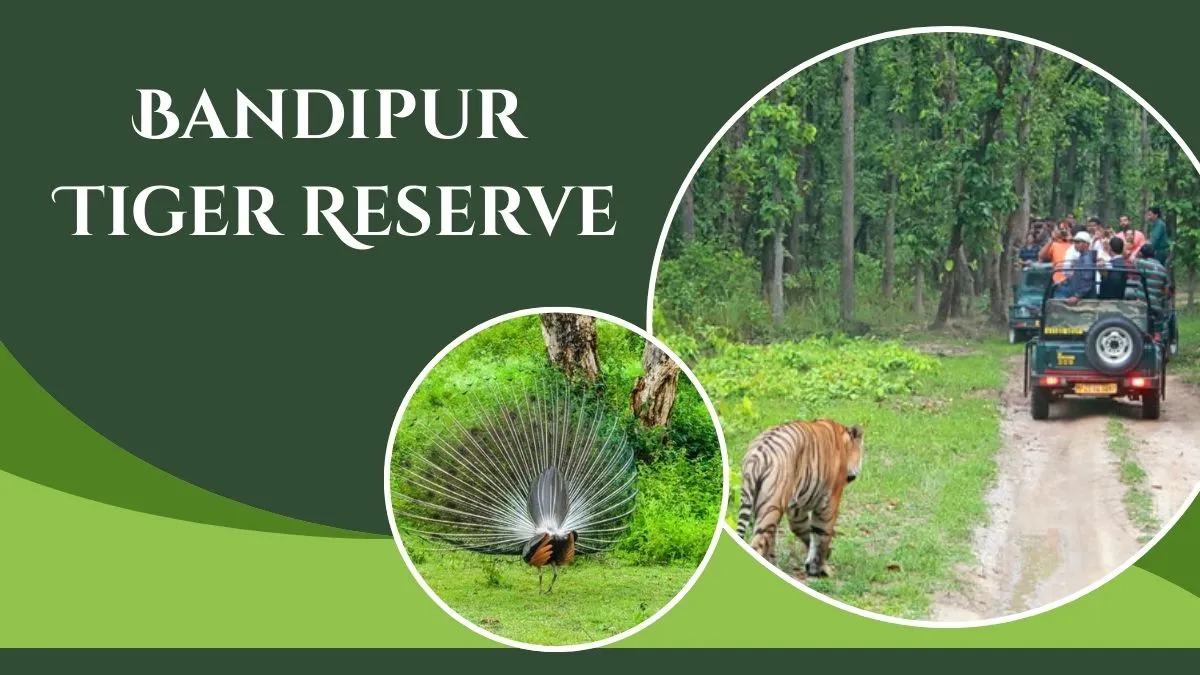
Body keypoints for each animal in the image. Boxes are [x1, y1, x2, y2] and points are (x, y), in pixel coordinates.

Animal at [734, 419, 864, 577]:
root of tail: (758, 453)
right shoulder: (830, 501)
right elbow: (822, 534)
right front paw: (820, 568)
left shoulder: (797, 508)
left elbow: (804, 530)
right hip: (772, 507)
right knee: (758, 543)